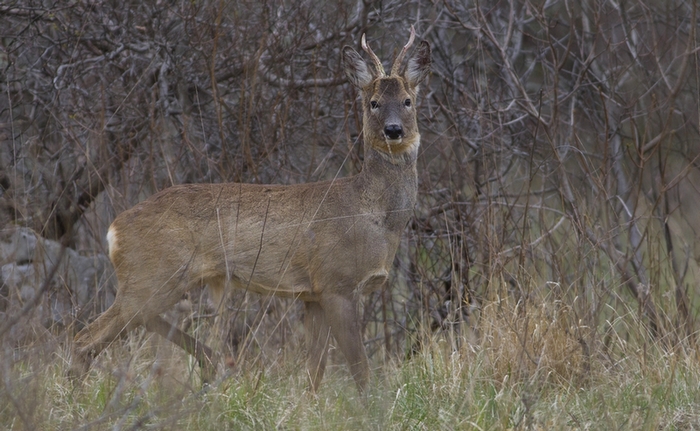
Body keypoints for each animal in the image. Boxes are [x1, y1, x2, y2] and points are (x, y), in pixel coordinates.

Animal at [72, 25, 432, 394]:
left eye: (408, 100)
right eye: (373, 102)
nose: (393, 130)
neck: (372, 213)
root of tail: (114, 230)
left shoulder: (312, 293)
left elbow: (314, 372)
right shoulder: (337, 282)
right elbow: (360, 369)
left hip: (155, 283)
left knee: (131, 326)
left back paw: (208, 362)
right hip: (151, 277)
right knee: (84, 338)